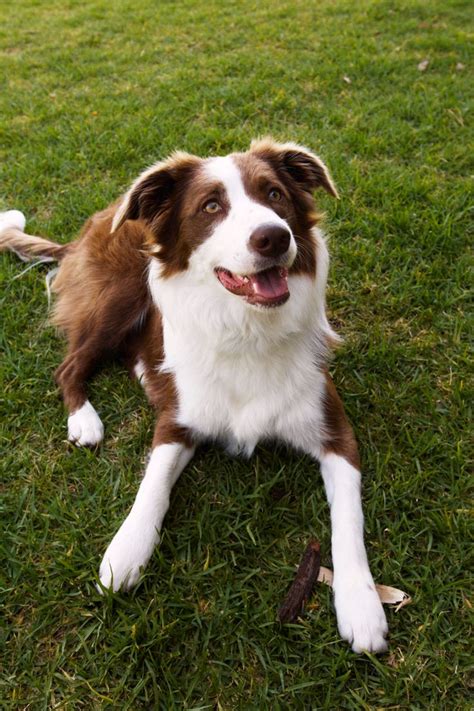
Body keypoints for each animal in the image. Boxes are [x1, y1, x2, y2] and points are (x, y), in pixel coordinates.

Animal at [0, 136, 388, 652]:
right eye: (211, 206)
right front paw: (125, 551)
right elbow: (153, 487)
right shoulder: (177, 423)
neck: (247, 330)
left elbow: (348, 520)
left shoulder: (336, 433)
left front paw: (361, 606)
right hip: (119, 297)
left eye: (274, 194)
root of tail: (94, 223)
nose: (274, 237)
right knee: (70, 366)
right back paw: (84, 419)